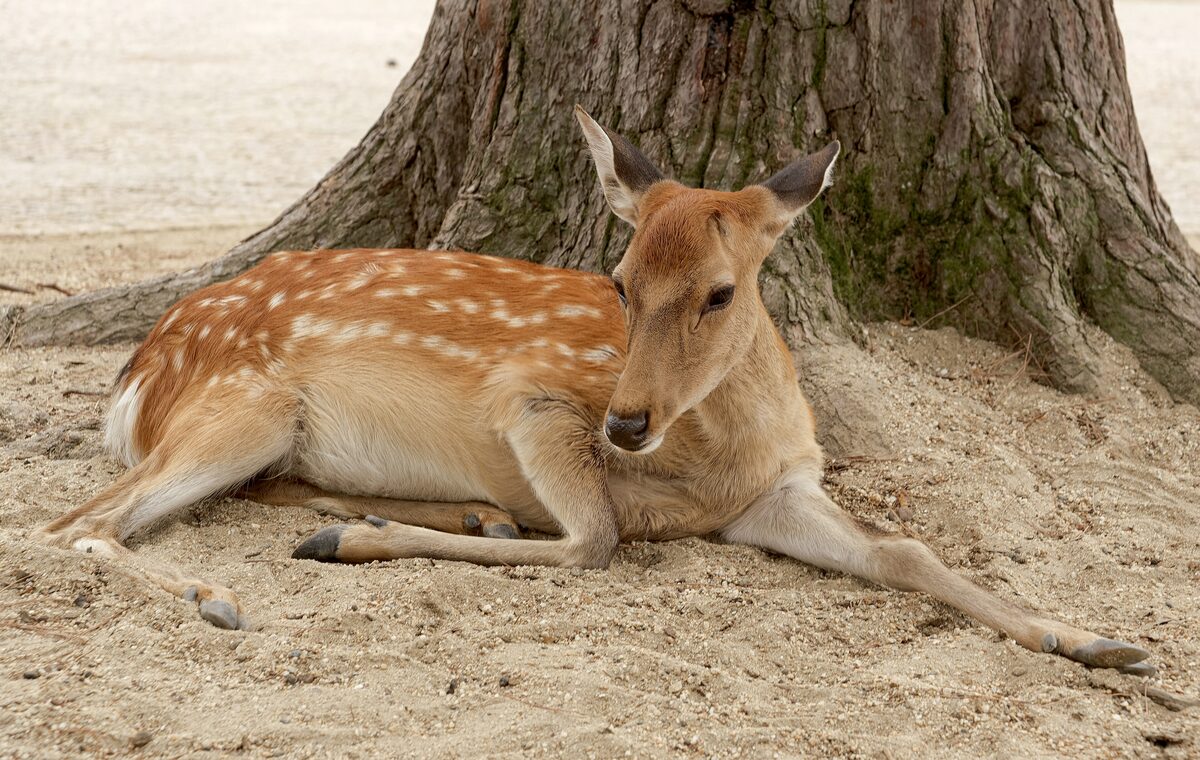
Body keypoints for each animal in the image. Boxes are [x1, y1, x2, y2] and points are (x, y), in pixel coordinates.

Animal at [36, 106, 1153, 676]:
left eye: (720, 289)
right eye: (617, 281)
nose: (625, 420)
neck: (714, 460)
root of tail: (137, 370)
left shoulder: (780, 490)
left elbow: (908, 550)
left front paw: (1101, 640)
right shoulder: (533, 400)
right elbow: (598, 540)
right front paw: (353, 546)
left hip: (261, 433)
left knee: (234, 493)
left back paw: (448, 514)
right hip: (242, 404)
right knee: (72, 524)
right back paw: (222, 595)